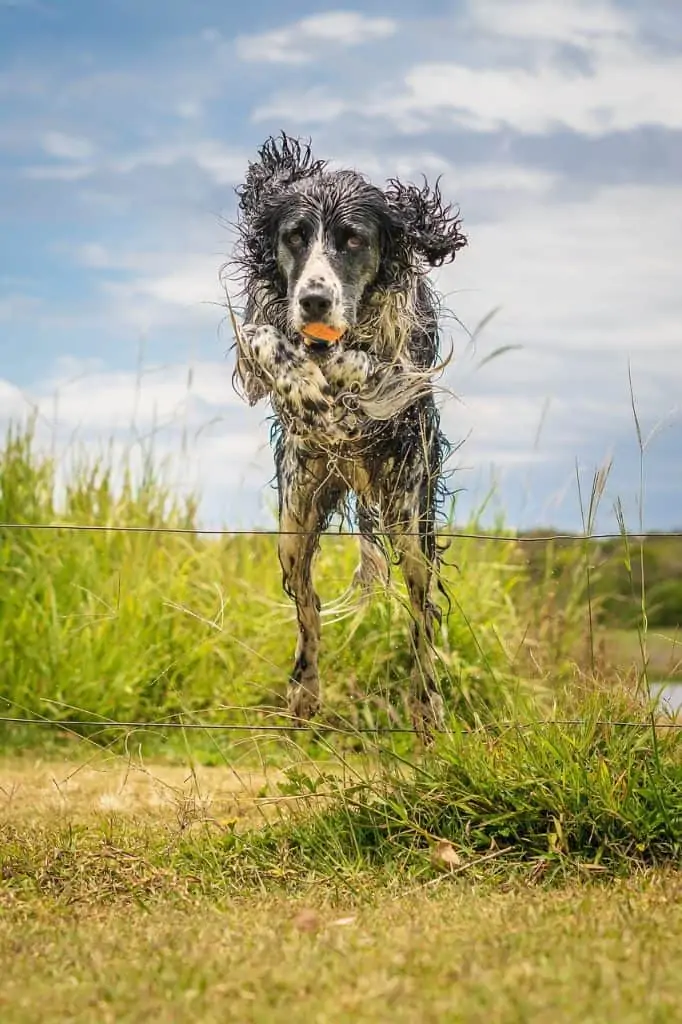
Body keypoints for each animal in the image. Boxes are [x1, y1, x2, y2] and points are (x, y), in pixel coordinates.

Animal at [225, 132, 464, 737]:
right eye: (294, 236)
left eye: (353, 239)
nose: (314, 300)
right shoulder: (260, 324)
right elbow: (265, 337)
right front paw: (303, 384)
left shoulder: (408, 361)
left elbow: (372, 365)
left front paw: (337, 370)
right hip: (295, 520)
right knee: (307, 607)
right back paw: (305, 691)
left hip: (410, 521)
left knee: (422, 619)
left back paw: (428, 708)